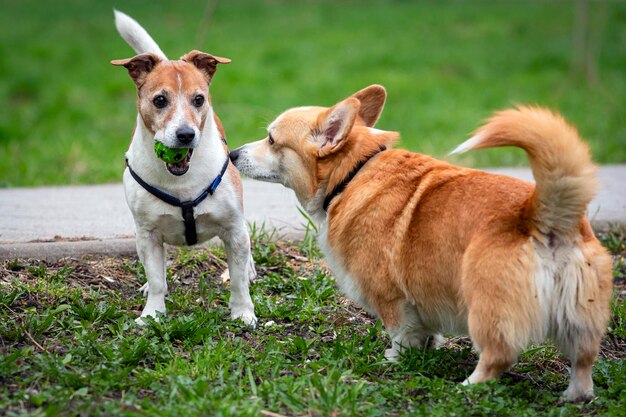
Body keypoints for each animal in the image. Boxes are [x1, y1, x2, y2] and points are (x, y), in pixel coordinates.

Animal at [111, 10, 255, 324]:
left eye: (198, 99)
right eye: (159, 100)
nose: (186, 134)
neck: (180, 181)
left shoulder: (234, 229)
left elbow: (238, 279)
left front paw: (243, 312)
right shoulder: (147, 234)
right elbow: (156, 278)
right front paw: (152, 313)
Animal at [229, 84, 608, 400]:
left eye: (271, 139)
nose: (233, 153)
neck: (353, 172)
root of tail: (540, 214)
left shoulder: (391, 297)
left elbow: (401, 334)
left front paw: (393, 361)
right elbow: (427, 333)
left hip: (486, 309)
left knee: (498, 356)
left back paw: (467, 387)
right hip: (579, 316)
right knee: (584, 361)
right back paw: (574, 397)